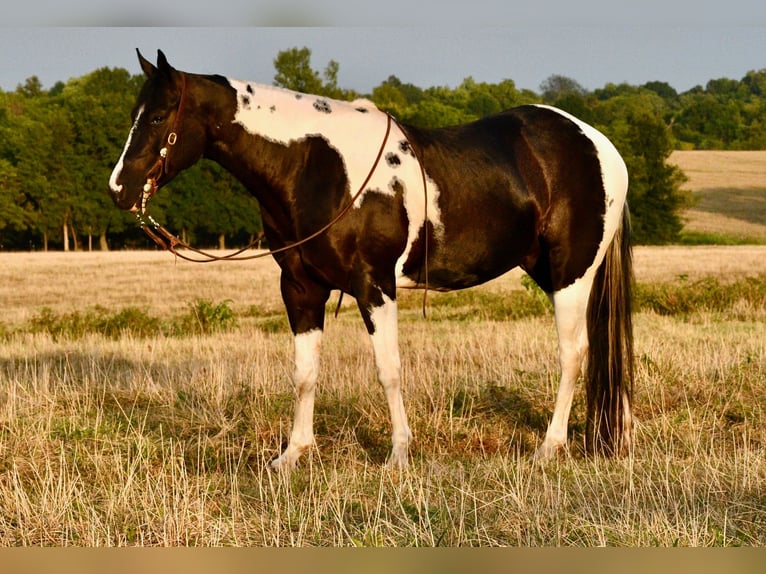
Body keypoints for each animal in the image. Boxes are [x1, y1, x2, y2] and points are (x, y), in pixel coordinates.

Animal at [108, 50, 634, 470]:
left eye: (157, 117)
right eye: (132, 113)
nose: (119, 189)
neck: (317, 166)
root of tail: (596, 142)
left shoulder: (374, 285)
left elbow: (388, 369)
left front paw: (399, 453)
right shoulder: (301, 289)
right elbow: (305, 374)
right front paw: (293, 454)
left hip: (571, 275)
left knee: (573, 354)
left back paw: (550, 446)